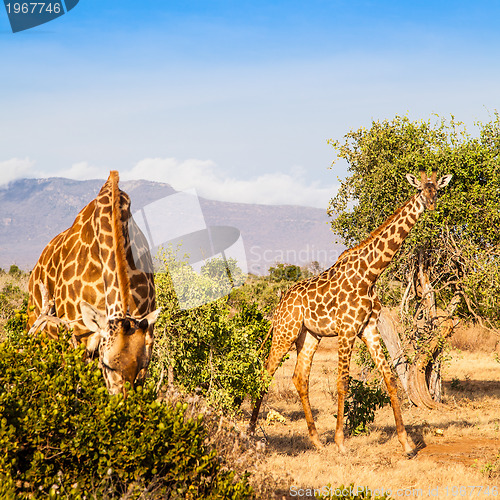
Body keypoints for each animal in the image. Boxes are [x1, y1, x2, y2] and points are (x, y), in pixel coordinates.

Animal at [27, 172, 160, 394]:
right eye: (107, 364)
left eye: (140, 365)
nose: (122, 400)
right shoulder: (78, 336)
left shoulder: (146, 336)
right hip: (39, 327)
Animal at [250, 170, 454, 456]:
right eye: (421, 190)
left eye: (437, 189)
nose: (432, 205)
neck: (370, 274)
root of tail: (279, 303)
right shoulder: (346, 330)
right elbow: (343, 382)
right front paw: (341, 443)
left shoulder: (368, 329)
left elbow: (390, 380)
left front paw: (407, 444)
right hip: (284, 332)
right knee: (264, 374)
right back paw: (249, 433)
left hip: (308, 335)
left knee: (300, 378)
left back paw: (316, 441)